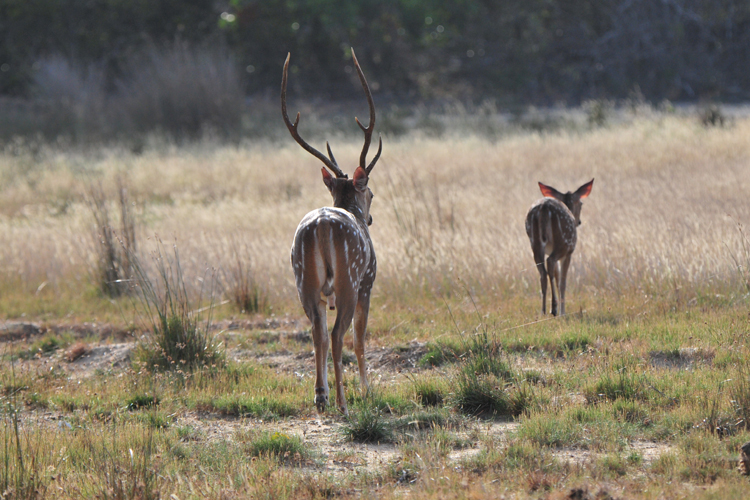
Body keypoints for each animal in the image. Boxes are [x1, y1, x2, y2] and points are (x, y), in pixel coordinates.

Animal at [284, 48, 384, 414]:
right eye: (371, 192)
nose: (370, 219)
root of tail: (323, 225)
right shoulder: (369, 282)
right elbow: (360, 337)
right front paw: (368, 390)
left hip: (304, 280)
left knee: (318, 332)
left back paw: (321, 396)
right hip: (349, 278)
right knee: (340, 334)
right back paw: (343, 402)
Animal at [524, 180, 596, 316]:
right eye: (581, 203)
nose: (578, 221)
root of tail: (544, 208)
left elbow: (556, 277)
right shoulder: (569, 252)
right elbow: (562, 281)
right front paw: (563, 312)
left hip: (535, 244)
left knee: (543, 272)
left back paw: (543, 311)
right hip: (564, 242)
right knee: (550, 262)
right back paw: (554, 308)